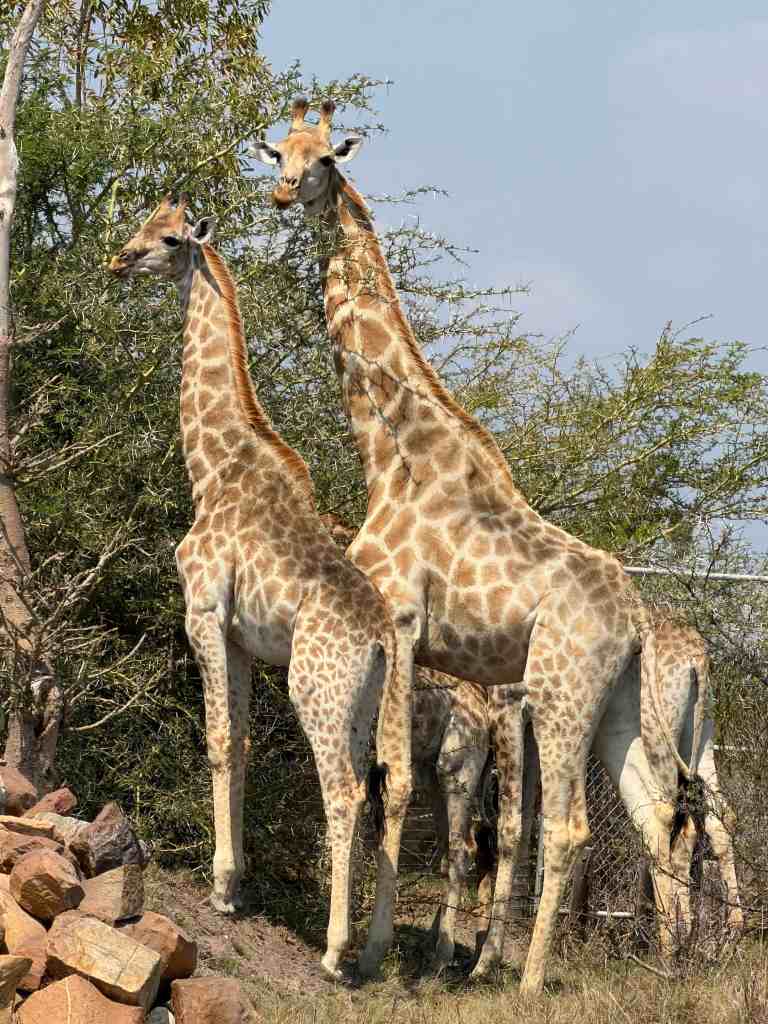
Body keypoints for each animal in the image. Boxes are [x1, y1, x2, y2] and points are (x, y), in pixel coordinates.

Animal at [107, 197, 412, 981]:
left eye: (170, 240)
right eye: (145, 219)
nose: (120, 259)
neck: (212, 463)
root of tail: (380, 637)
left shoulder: (204, 611)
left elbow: (217, 737)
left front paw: (221, 888)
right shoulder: (242, 639)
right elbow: (241, 740)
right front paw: (238, 881)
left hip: (315, 685)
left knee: (343, 792)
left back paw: (334, 952)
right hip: (365, 701)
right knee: (386, 789)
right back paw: (372, 949)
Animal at [253, 99, 699, 995]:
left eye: (326, 159)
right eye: (280, 152)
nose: (285, 194)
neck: (390, 454)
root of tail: (637, 621)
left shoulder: (397, 622)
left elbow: (390, 781)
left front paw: (370, 953)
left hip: (560, 693)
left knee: (566, 827)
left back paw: (526, 979)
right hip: (620, 706)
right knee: (656, 813)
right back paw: (668, 971)